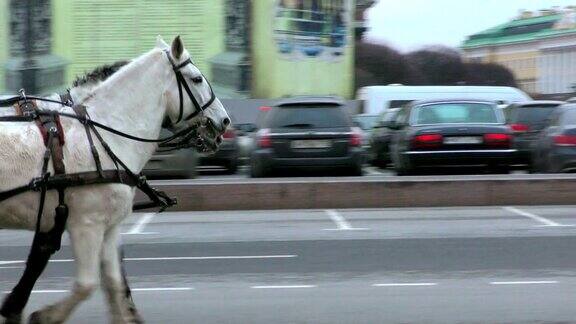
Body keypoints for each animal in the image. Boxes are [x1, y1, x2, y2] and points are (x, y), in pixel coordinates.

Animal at [0, 36, 230, 324]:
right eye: (197, 79)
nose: (225, 121)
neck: (105, 132)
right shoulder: (86, 225)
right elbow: (85, 284)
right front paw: (39, 315)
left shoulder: (106, 228)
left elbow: (114, 282)